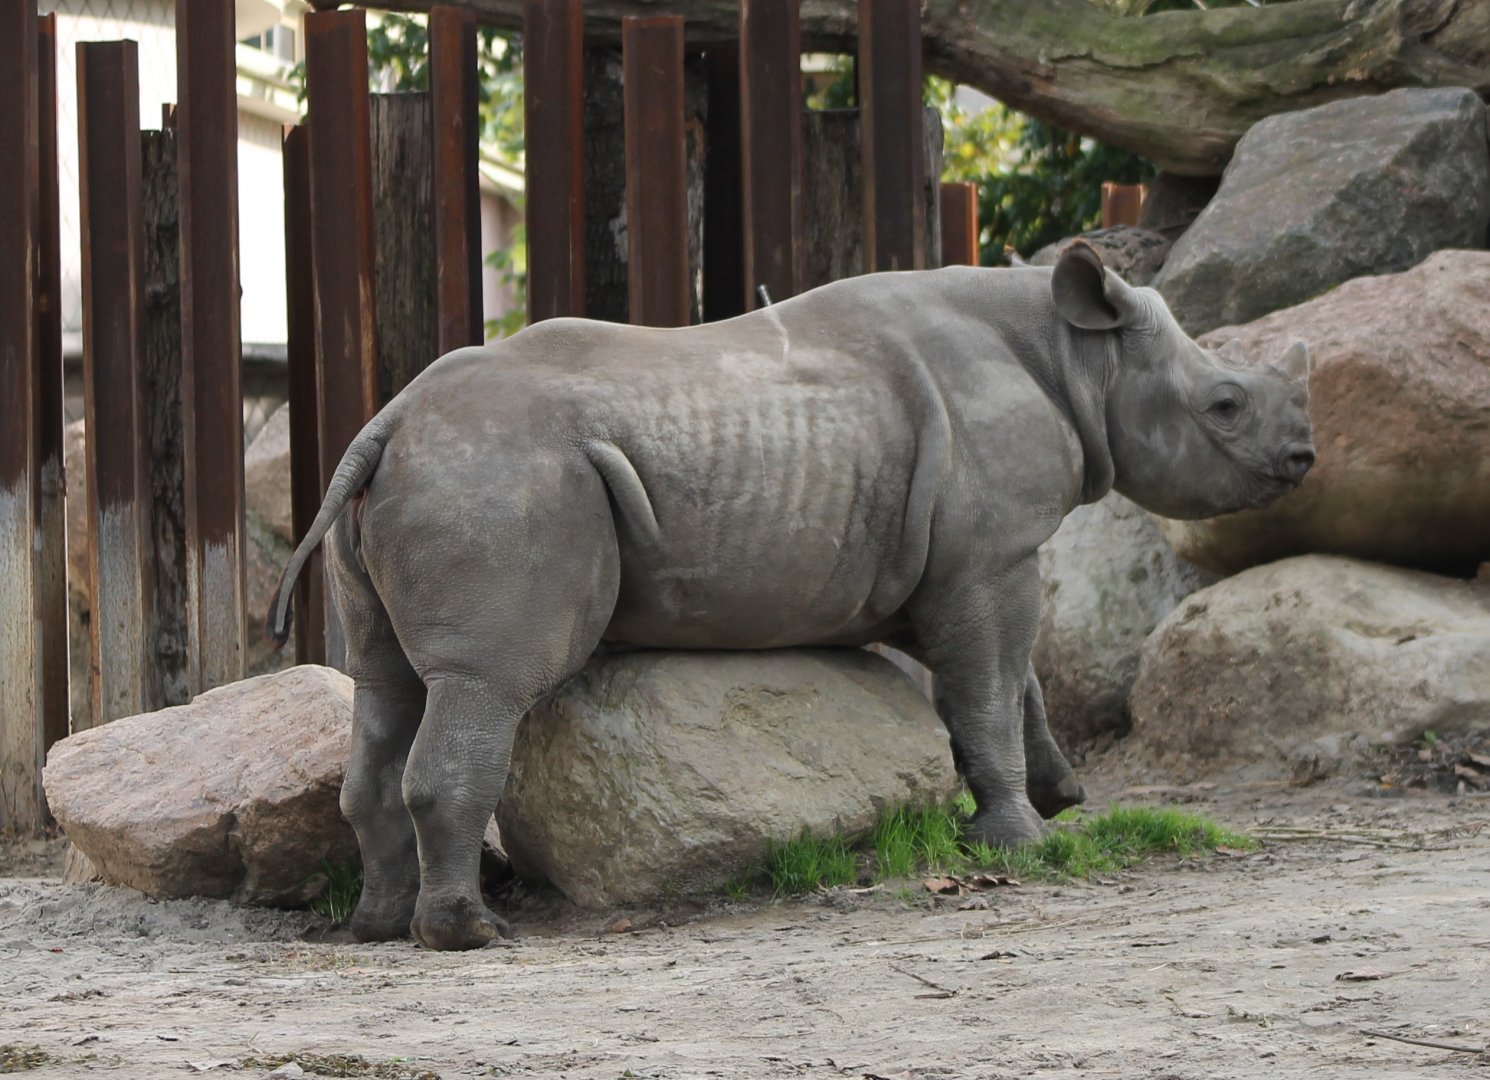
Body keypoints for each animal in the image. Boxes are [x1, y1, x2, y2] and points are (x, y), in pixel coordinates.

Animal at [269, 242, 1313, 950]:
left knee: (387, 686)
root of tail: (387, 422)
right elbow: (988, 686)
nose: (1303, 458)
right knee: (485, 684)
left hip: (427, 479)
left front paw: (1061, 796)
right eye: (1224, 406)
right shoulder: (987, 556)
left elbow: (1011, 680)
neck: (1078, 360)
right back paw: (473, 936)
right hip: (502, 477)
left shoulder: (954, 560)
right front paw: (1020, 845)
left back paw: (378, 926)